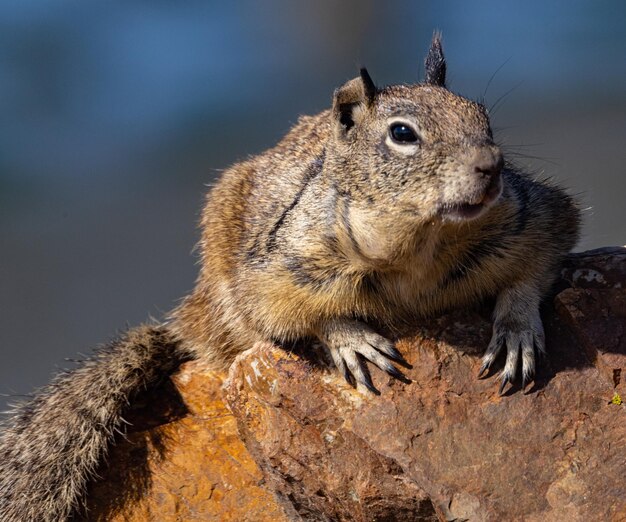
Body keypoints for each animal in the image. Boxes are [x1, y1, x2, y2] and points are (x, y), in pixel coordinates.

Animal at [0, 34, 576, 516]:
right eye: (402, 134)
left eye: (484, 117)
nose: (491, 166)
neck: (419, 245)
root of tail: (189, 320)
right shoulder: (282, 268)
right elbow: (287, 315)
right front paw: (351, 340)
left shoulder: (531, 214)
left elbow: (541, 260)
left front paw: (516, 330)